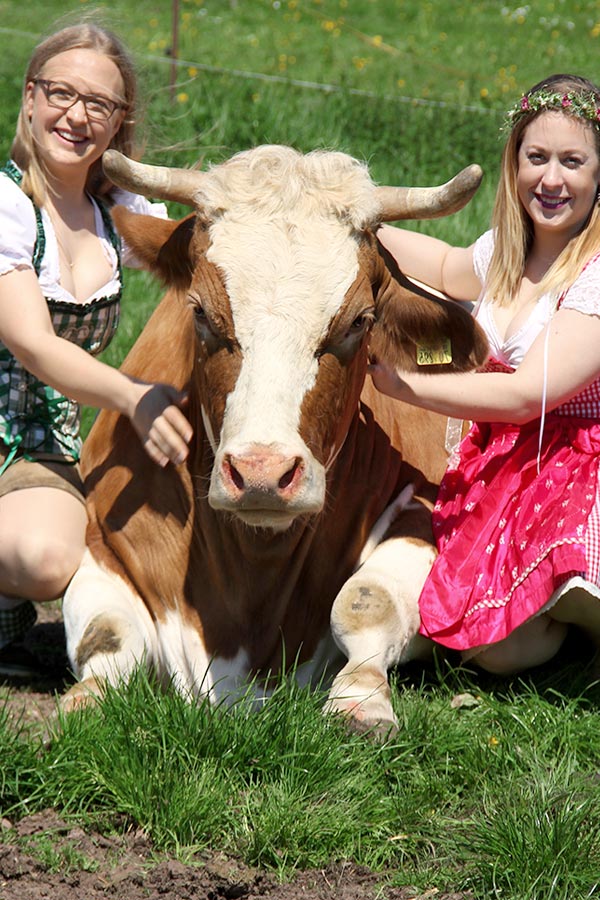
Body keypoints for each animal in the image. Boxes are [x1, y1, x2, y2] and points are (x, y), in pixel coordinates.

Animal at [61, 144, 488, 736]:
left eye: (360, 320)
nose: (262, 474)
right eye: (199, 311)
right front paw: (85, 701)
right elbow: (107, 632)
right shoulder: (103, 538)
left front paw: (361, 700)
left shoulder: (425, 510)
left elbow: (366, 599)